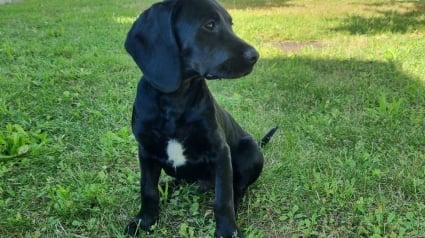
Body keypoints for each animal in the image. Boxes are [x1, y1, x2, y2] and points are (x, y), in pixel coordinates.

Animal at [122, 0, 276, 236]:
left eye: (230, 24)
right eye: (209, 25)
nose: (255, 56)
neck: (175, 100)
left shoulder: (220, 152)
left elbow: (223, 198)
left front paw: (228, 231)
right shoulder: (146, 151)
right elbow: (147, 190)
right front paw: (144, 221)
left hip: (251, 151)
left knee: (238, 187)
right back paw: (166, 186)